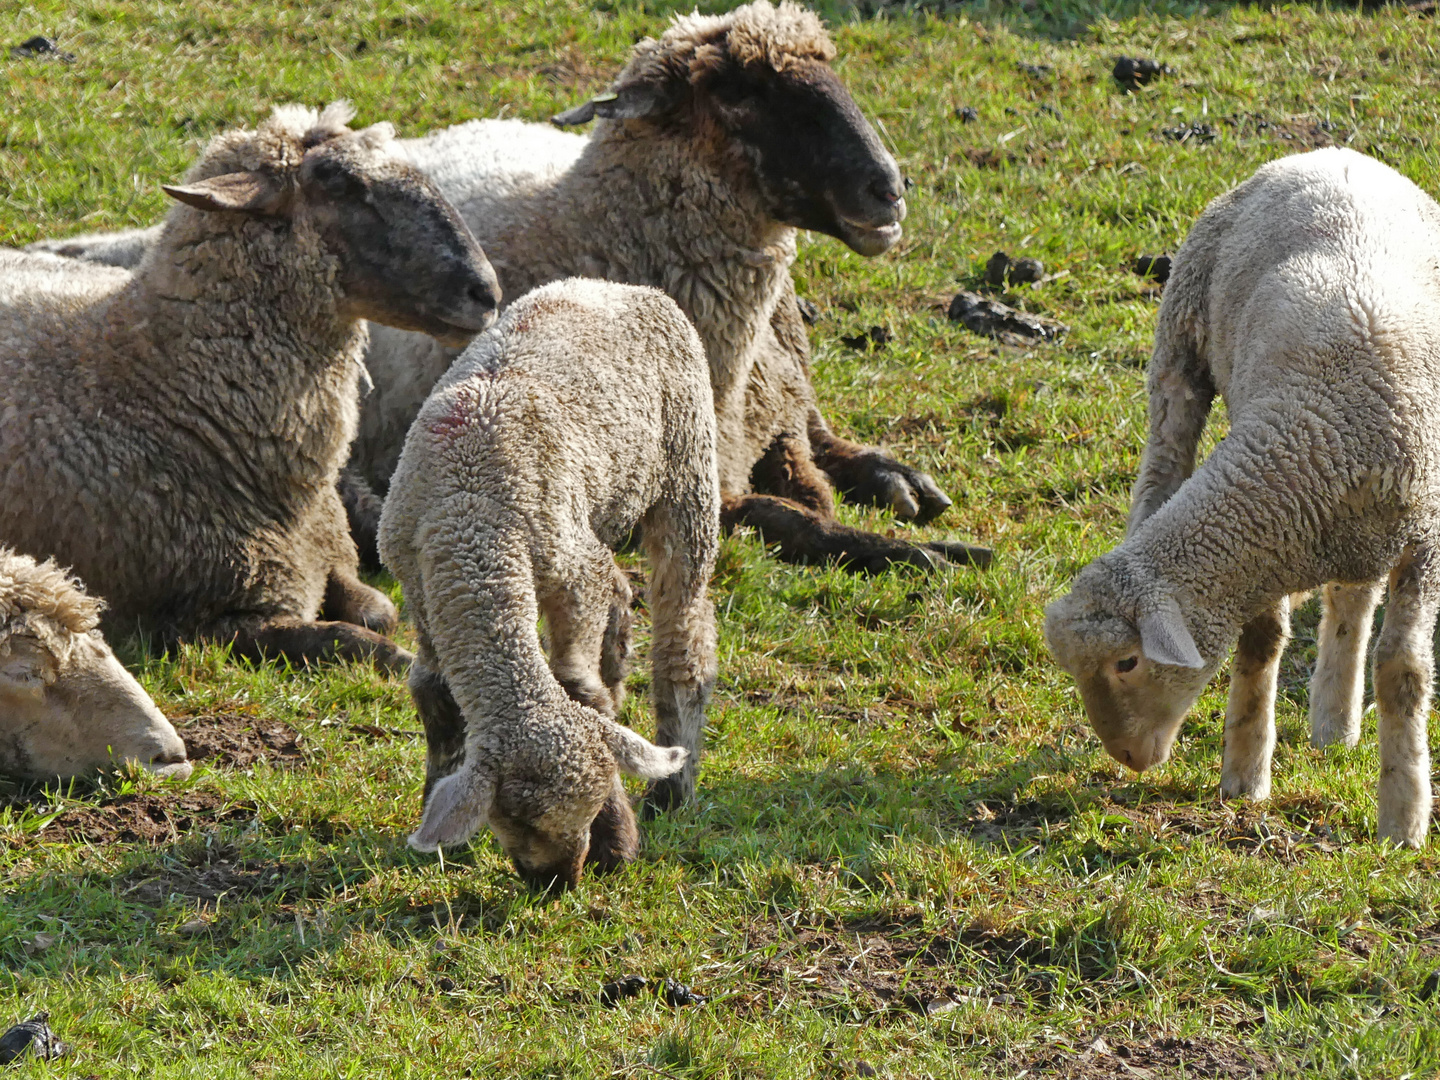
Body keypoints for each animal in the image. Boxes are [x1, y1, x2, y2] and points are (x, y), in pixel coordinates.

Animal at [0, 103, 501, 676]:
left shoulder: (327, 554)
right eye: (339, 184)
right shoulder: (203, 623)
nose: (486, 293)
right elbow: (360, 642)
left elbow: (379, 610)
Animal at [42, 4, 990, 578]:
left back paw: (894, 473)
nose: (887, 192)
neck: (580, 222)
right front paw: (920, 552)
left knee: (817, 427)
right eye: (738, 92)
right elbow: (785, 516)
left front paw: (919, 525)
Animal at [380, 276, 717, 887]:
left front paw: (618, 844)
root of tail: (622, 286)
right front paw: (435, 820)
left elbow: (580, 689)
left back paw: (674, 787)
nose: (558, 882)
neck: (470, 509)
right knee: (619, 586)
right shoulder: (419, 584)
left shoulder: (569, 575)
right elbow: (433, 690)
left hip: (688, 466)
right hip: (597, 508)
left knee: (685, 628)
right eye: (514, 815)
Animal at [1048, 148, 1440, 852]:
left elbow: (1402, 670)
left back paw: (1334, 722)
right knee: (1161, 474)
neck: (1314, 436)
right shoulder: (1273, 544)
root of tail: (1330, 154)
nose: (1126, 758)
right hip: (1180, 347)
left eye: (1127, 662)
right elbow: (1261, 642)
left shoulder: (1421, 539)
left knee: (1352, 598)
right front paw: (1245, 774)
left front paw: (1402, 818)